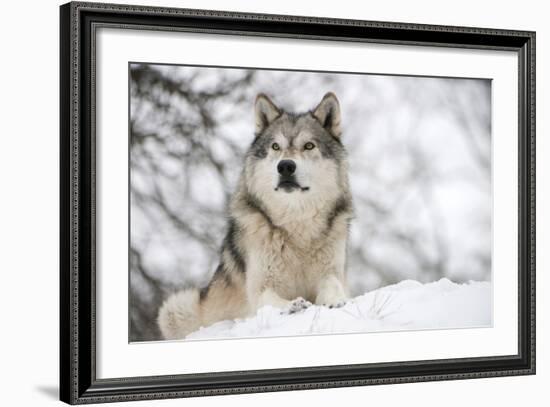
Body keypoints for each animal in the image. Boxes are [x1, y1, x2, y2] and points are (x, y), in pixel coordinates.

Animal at [157, 93, 356, 342]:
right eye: (275, 146)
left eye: (309, 145)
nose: (286, 166)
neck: (296, 228)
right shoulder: (259, 287)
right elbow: (269, 299)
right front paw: (292, 305)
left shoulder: (332, 272)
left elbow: (332, 285)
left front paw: (334, 300)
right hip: (176, 306)